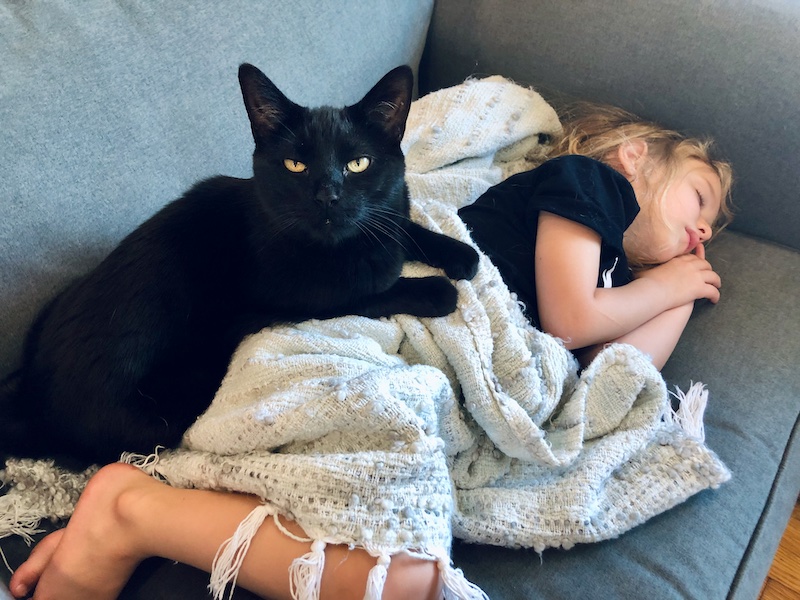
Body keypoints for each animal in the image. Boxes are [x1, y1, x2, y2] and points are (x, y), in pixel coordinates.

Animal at [0, 63, 479, 468]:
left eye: (357, 163)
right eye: (295, 165)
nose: (327, 197)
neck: (344, 245)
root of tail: (30, 397)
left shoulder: (385, 220)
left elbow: (404, 228)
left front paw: (461, 254)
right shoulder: (300, 299)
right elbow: (373, 291)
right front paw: (438, 290)